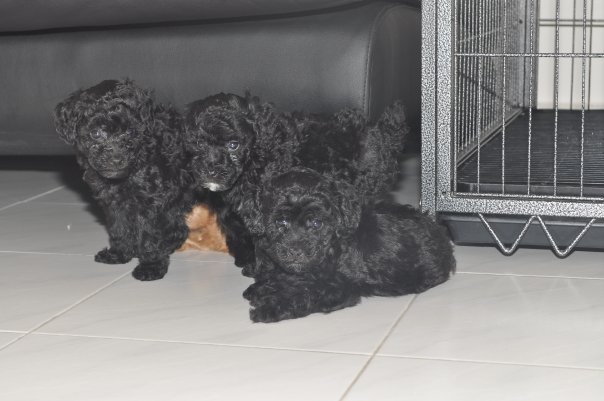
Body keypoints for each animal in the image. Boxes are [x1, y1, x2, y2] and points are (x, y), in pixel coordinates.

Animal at [54, 79, 194, 281]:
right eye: (96, 133)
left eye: (130, 132)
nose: (117, 159)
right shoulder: (114, 202)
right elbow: (119, 228)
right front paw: (119, 253)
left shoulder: (151, 202)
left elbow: (150, 234)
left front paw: (151, 266)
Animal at [242, 168, 456, 322]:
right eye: (281, 222)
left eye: (317, 223)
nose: (296, 252)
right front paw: (261, 288)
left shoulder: (339, 287)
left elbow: (305, 293)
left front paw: (270, 308)